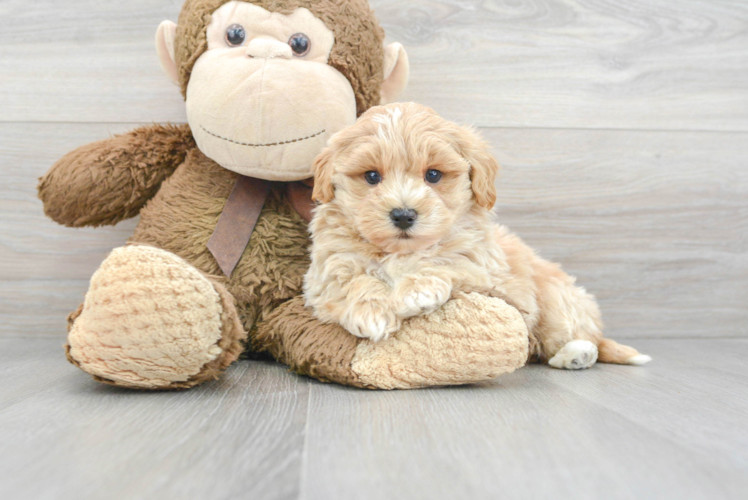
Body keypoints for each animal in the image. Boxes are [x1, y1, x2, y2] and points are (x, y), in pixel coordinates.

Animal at [304, 102, 648, 368]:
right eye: (372, 176)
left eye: (433, 175)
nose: (403, 215)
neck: (400, 252)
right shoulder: (327, 273)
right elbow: (354, 281)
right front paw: (372, 311)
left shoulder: (485, 274)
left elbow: (448, 263)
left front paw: (418, 290)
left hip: (556, 299)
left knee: (574, 339)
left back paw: (576, 354)